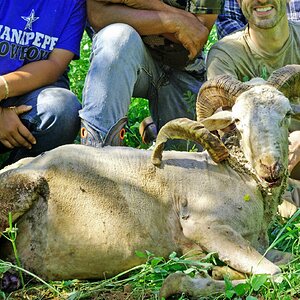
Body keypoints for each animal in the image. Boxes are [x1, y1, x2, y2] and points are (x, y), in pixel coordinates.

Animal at [0, 65, 298, 298]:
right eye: (238, 120)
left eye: (286, 114)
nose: (271, 169)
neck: (237, 175)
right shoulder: (207, 227)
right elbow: (276, 274)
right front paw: (183, 281)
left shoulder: (257, 244)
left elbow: (288, 260)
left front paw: (211, 268)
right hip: (19, 191)